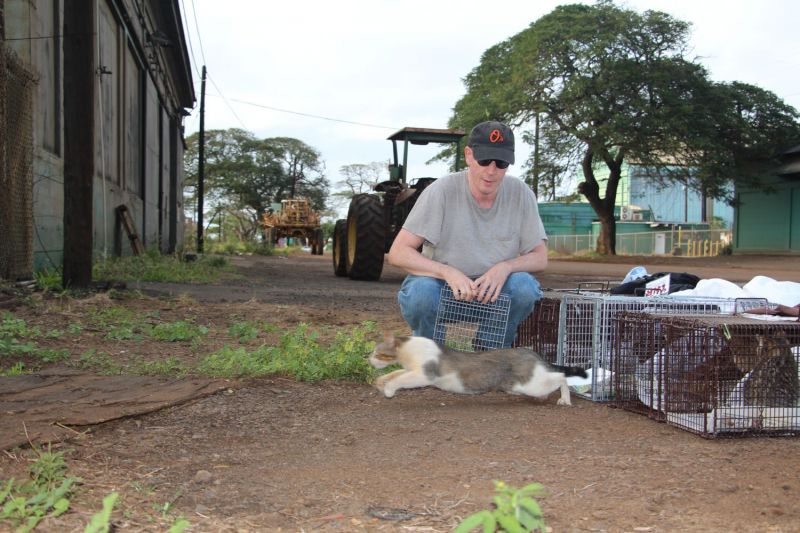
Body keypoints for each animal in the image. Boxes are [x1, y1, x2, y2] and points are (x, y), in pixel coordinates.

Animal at [368, 332, 588, 404]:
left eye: (378, 353)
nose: (369, 360)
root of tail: (531, 352)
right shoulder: (412, 370)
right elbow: (395, 373)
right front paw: (380, 382)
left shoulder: (424, 374)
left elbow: (400, 379)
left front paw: (388, 391)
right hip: (520, 386)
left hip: (529, 384)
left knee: (561, 376)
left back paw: (565, 400)